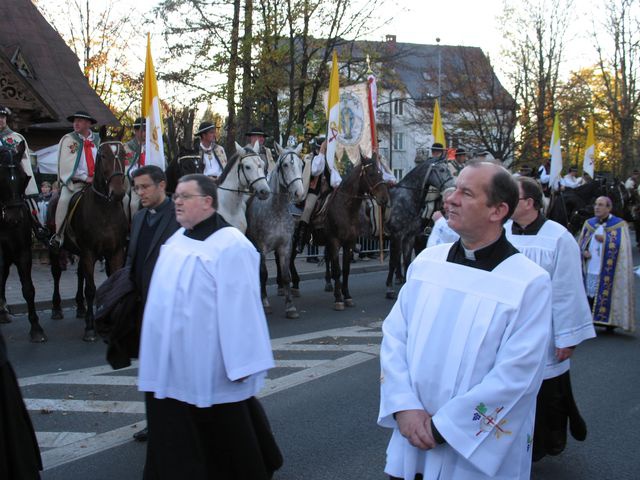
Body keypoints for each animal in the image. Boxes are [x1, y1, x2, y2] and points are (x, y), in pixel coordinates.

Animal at [50, 141, 129, 340]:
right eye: (103, 156)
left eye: (123, 155)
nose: (118, 192)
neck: (105, 209)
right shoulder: (89, 252)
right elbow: (91, 289)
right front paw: (90, 328)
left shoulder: (116, 252)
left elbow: (113, 282)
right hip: (56, 249)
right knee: (56, 273)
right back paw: (56, 309)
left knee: (80, 275)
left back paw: (80, 309)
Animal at [245, 141, 304, 316]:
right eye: (285, 165)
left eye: (301, 165)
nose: (299, 193)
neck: (275, 210)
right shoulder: (262, 248)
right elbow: (263, 274)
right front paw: (265, 303)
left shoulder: (285, 246)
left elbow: (286, 275)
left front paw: (290, 306)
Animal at [318, 155, 390, 312]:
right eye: (371, 174)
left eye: (381, 173)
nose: (385, 199)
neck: (346, 209)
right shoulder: (334, 241)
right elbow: (338, 270)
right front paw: (338, 299)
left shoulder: (349, 243)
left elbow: (345, 270)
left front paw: (347, 296)